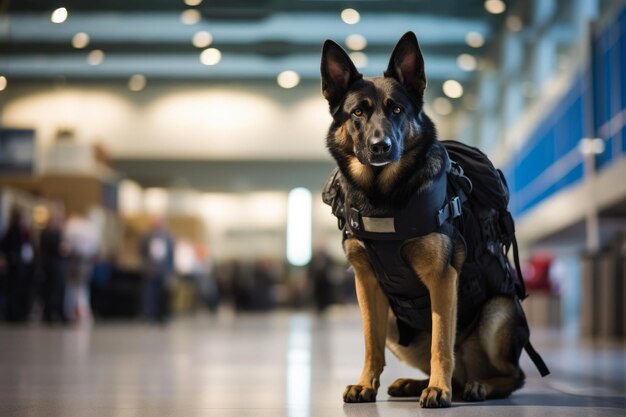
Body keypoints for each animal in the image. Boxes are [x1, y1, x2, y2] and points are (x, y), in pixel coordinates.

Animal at [320, 31, 524, 406]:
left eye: (397, 110)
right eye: (358, 112)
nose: (381, 146)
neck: (382, 199)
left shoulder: (441, 278)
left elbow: (441, 343)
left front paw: (439, 391)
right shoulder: (366, 283)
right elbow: (370, 343)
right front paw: (365, 383)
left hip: (497, 312)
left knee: (512, 375)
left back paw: (478, 386)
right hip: (394, 326)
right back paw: (417, 383)